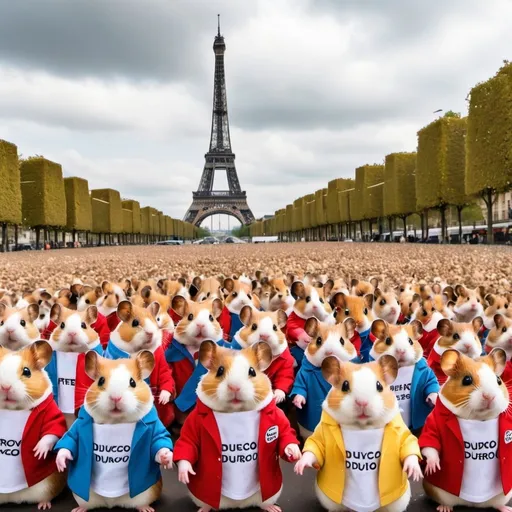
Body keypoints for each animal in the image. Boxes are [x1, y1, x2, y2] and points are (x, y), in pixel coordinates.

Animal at [55, 352, 173, 512]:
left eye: (132, 382)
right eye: (101, 381)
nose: (115, 398)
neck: (115, 421)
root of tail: (111, 503)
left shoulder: (155, 430)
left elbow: (160, 443)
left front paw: (167, 460)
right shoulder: (77, 428)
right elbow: (69, 442)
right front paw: (61, 465)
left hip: (148, 493)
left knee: (142, 502)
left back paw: (146, 509)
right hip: (82, 497)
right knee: (86, 504)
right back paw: (78, 510)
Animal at [104, 300, 176, 428]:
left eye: (154, 320)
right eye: (135, 322)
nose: (151, 333)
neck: (138, 349)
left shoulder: (162, 360)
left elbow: (165, 375)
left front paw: (163, 399)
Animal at [173, 340, 300, 512]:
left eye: (252, 371)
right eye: (220, 370)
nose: (235, 387)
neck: (236, 411)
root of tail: (238, 504)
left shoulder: (278, 419)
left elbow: (287, 435)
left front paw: (295, 455)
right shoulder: (193, 424)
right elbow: (187, 444)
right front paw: (185, 474)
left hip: (270, 494)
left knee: (264, 502)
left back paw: (274, 508)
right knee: (206, 503)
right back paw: (203, 509)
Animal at [294, 354, 422, 512]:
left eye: (379, 386)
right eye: (345, 385)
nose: (362, 403)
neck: (362, 426)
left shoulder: (402, 433)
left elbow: (408, 446)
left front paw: (415, 473)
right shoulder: (321, 435)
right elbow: (314, 447)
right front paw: (299, 467)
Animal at [420, 348, 512, 512]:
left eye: (498, 380)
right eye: (467, 380)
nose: (489, 396)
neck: (478, 418)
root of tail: (472, 504)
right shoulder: (433, 424)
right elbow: (431, 445)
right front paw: (433, 467)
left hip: (503, 495)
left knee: (497, 504)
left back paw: (506, 509)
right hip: (438, 492)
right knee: (446, 501)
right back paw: (444, 508)